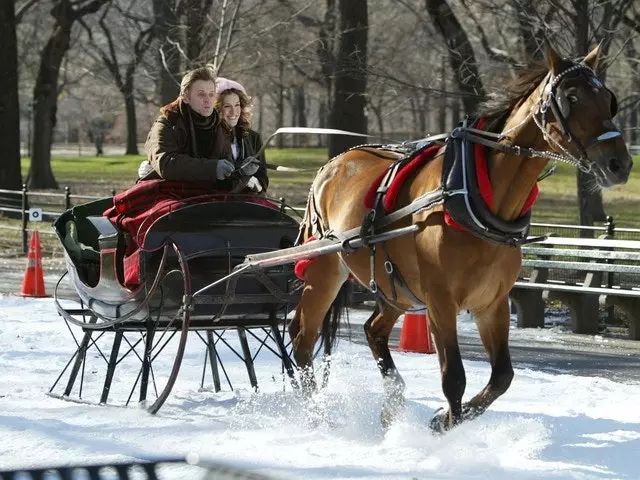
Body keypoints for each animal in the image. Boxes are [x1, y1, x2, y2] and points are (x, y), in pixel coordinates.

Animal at [288, 42, 632, 432]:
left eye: (607, 98)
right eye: (571, 98)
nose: (619, 164)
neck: (472, 193)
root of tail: (332, 165)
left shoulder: (492, 302)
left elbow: (502, 377)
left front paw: (446, 418)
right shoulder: (440, 301)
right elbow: (453, 377)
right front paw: (447, 424)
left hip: (396, 288)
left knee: (373, 330)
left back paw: (392, 402)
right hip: (325, 269)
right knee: (302, 339)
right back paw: (315, 415)